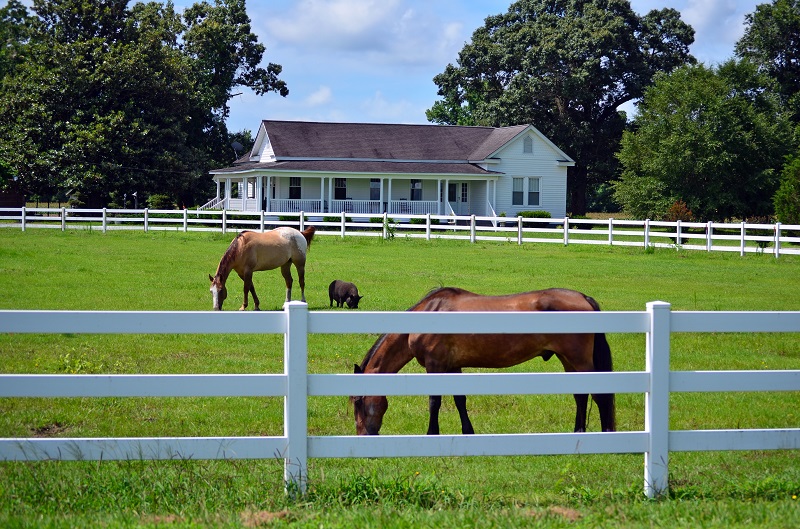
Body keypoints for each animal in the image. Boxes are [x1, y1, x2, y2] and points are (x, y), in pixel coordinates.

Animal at [350, 287, 615, 435]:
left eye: (358, 402)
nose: (363, 435)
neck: (429, 314)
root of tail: (583, 298)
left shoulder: (435, 366)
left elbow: (434, 402)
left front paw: (431, 433)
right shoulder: (452, 366)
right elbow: (460, 400)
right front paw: (468, 431)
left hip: (579, 360)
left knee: (599, 397)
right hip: (568, 359)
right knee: (580, 395)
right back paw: (578, 431)